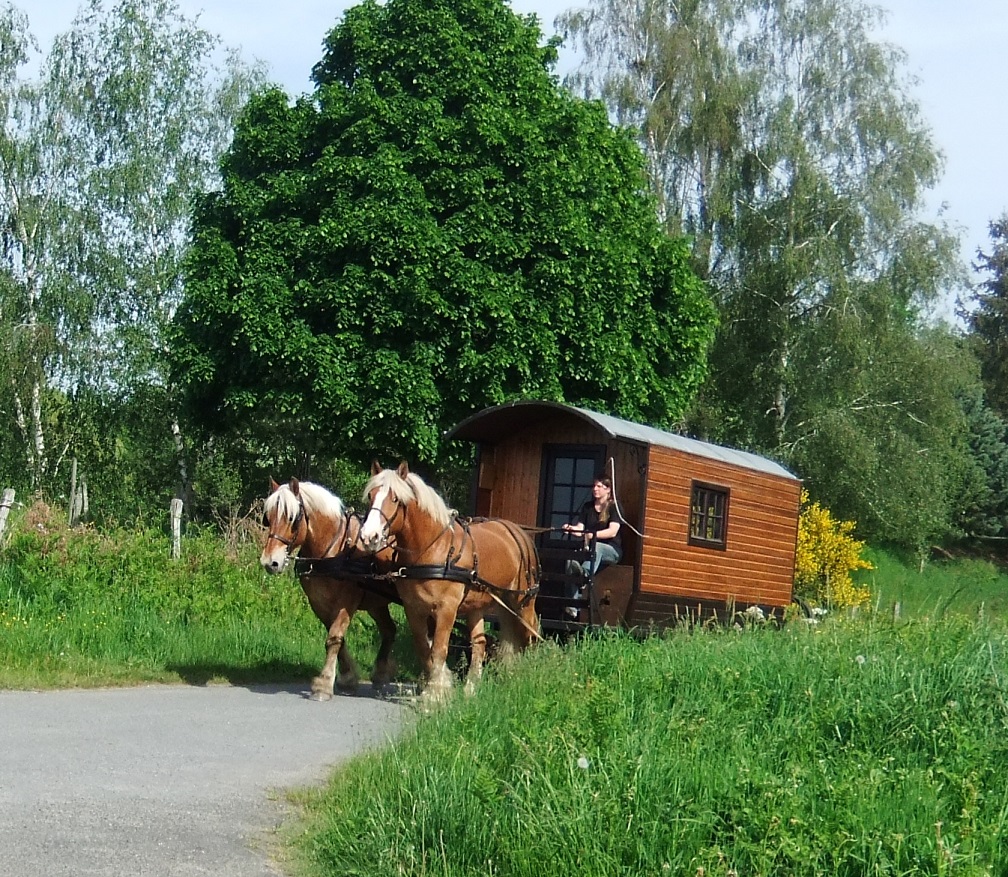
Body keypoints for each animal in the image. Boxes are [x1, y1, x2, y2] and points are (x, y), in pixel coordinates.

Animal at [260, 477, 397, 705]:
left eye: (292, 518)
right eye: (268, 518)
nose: (270, 562)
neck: (333, 551)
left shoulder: (346, 602)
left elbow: (334, 637)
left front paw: (324, 685)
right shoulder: (319, 603)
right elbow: (337, 638)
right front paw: (347, 678)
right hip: (377, 603)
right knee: (389, 630)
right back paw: (380, 675)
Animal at [358, 459, 540, 701]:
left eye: (395, 498)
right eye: (371, 496)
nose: (369, 537)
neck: (433, 549)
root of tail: (518, 531)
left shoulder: (447, 609)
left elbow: (439, 649)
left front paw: (435, 695)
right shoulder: (414, 609)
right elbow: (424, 648)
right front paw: (436, 688)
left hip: (523, 602)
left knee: (530, 635)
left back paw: (524, 678)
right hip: (480, 606)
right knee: (480, 643)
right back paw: (471, 688)